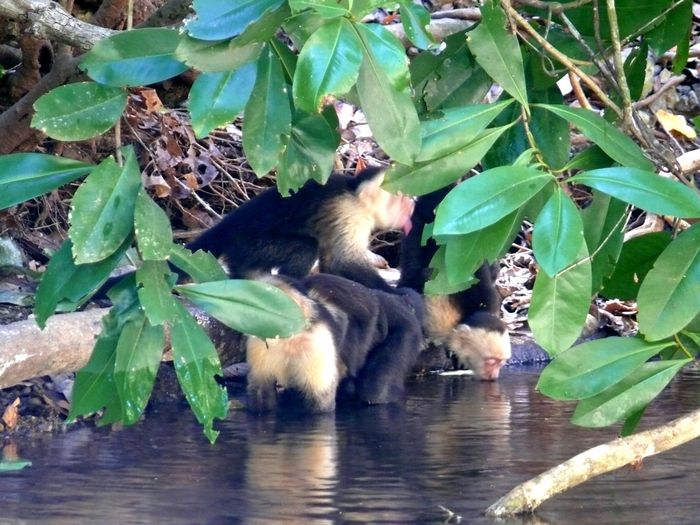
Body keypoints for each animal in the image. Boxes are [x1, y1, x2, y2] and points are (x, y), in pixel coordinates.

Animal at [187, 167, 416, 292]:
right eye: (400, 199)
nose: (411, 206)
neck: (356, 196)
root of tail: (230, 224)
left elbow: (332, 264)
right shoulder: (350, 214)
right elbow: (345, 261)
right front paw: (396, 293)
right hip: (251, 244)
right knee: (306, 247)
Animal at [243, 272, 424, 412]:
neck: (288, 338)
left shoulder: (318, 339)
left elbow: (321, 404)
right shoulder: (258, 342)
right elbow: (261, 396)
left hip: (407, 329)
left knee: (374, 391)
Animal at [402, 186, 512, 378]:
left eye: (502, 363)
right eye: (490, 362)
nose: (494, 376)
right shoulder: (438, 318)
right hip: (418, 228)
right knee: (416, 273)